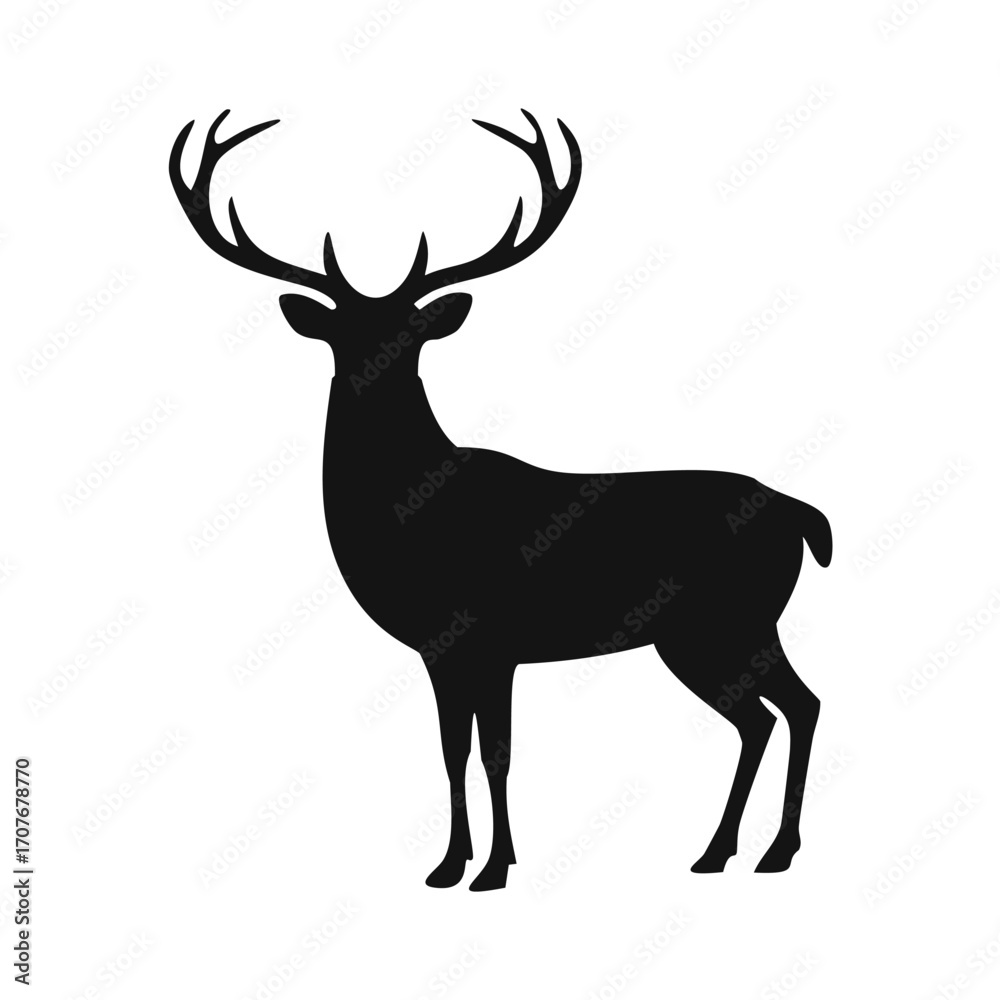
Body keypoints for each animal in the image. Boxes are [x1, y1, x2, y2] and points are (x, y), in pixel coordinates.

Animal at [169, 109, 831, 891]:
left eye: (411, 334)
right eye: (341, 334)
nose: (371, 373)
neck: (410, 517)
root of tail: (802, 516)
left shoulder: (486, 639)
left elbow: (493, 752)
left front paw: (489, 868)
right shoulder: (444, 648)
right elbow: (455, 750)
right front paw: (455, 863)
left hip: (724, 623)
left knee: (786, 709)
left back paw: (765, 850)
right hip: (727, 630)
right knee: (775, 713)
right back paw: (729, 852)